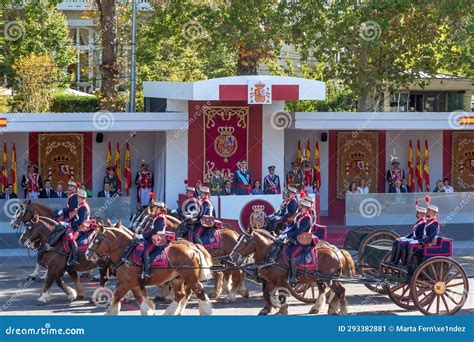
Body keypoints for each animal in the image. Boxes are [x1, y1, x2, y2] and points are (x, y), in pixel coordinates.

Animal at [85, 224, 215, 316]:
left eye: (97, 240)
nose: (87, 254)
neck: (126, 252)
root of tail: (192, 248)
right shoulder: (135, 284)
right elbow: (143, 301)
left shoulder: (126, 282)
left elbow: (116, 298)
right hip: (177, 278)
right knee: (180, 295)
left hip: (191, 279)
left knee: (200, 294)